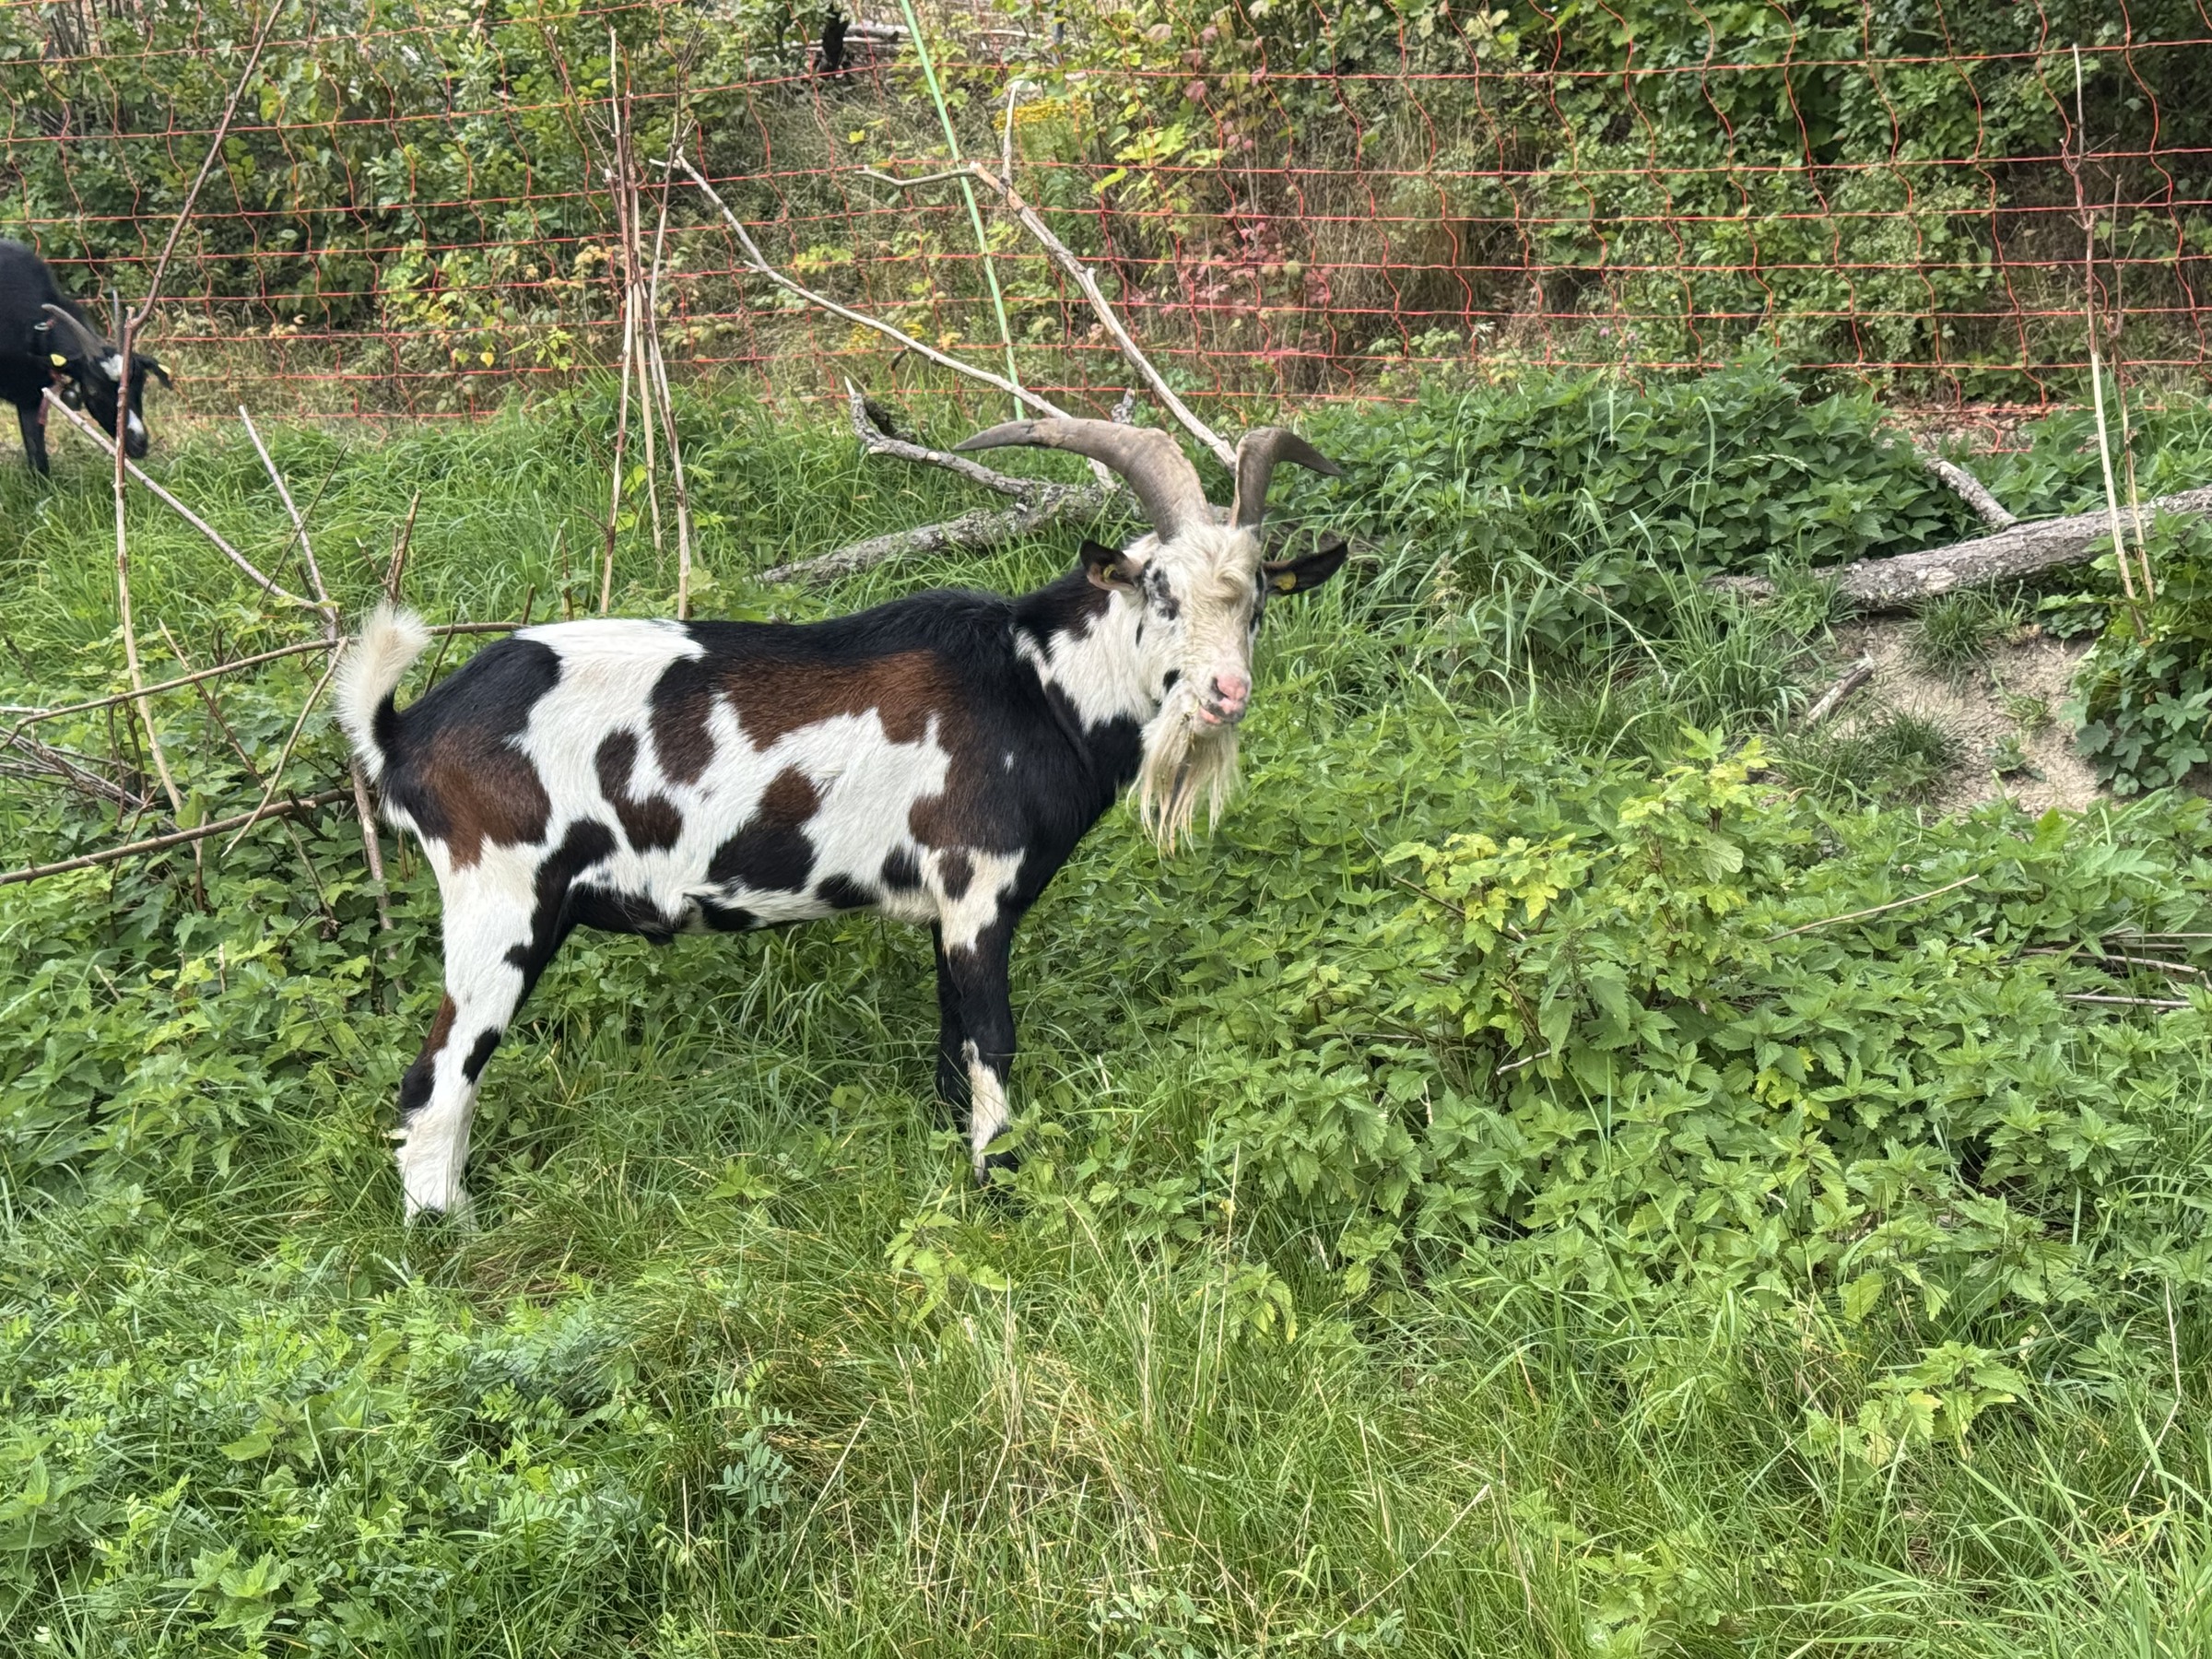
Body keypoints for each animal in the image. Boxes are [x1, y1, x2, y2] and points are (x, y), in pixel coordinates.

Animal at [338, 419, 1347, 1217]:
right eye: (1161, 588)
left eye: (1258, 598)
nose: (1227, 692)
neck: (1034, 683)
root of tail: (407, 730)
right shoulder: (977, 893)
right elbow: (991, 1044)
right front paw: (1001, 1189)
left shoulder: (944, 911)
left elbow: (950, 1050)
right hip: (500, 905)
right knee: (435, 1080)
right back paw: (448, 1239)